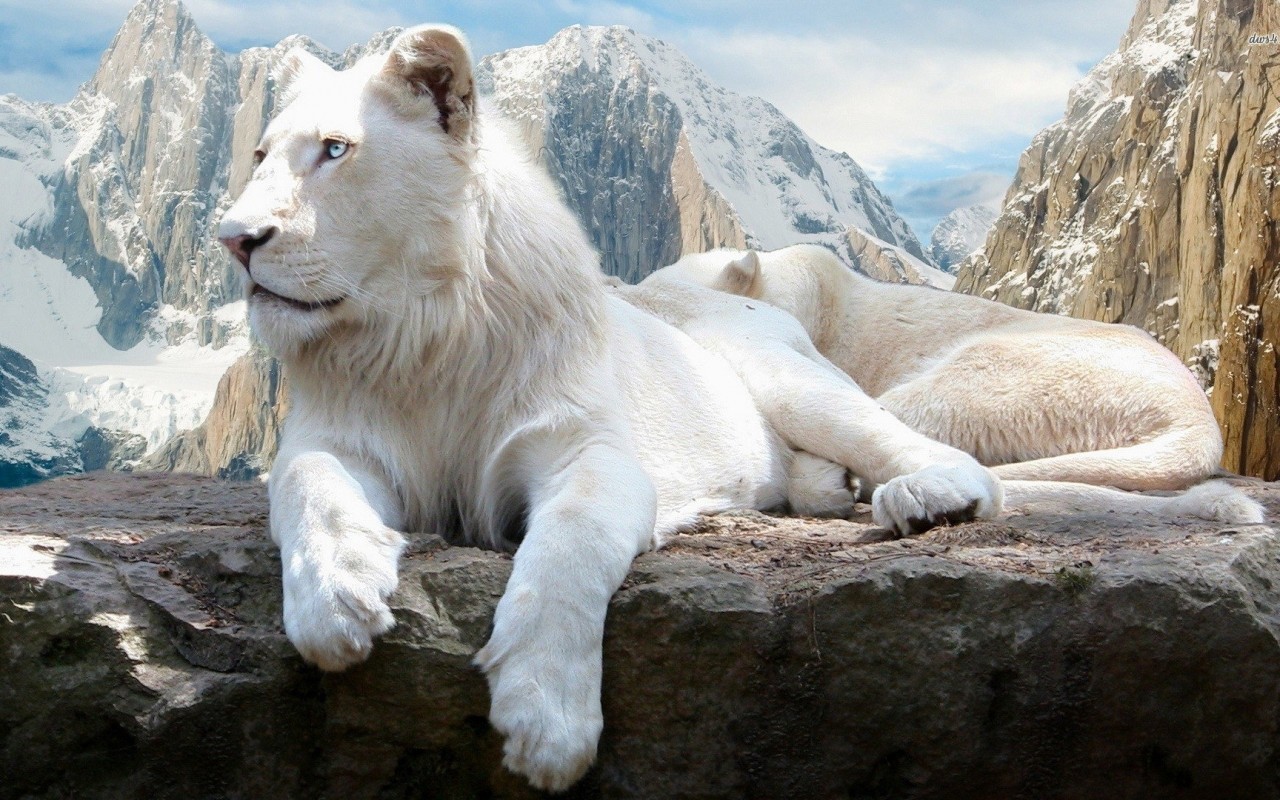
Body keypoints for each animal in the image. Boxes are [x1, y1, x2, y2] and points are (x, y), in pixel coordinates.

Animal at [216, 25, 1010, 791]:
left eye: (335, 149)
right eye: (258, 154)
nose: (234, 240)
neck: (420, 334)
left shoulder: (586, 449)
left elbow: (569, 546)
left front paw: (546, 721)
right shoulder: (338, 440)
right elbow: (308, 486)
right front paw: (335, 600)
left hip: (787, 378)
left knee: (924, 449)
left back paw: (926, 497)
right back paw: (827, 489)